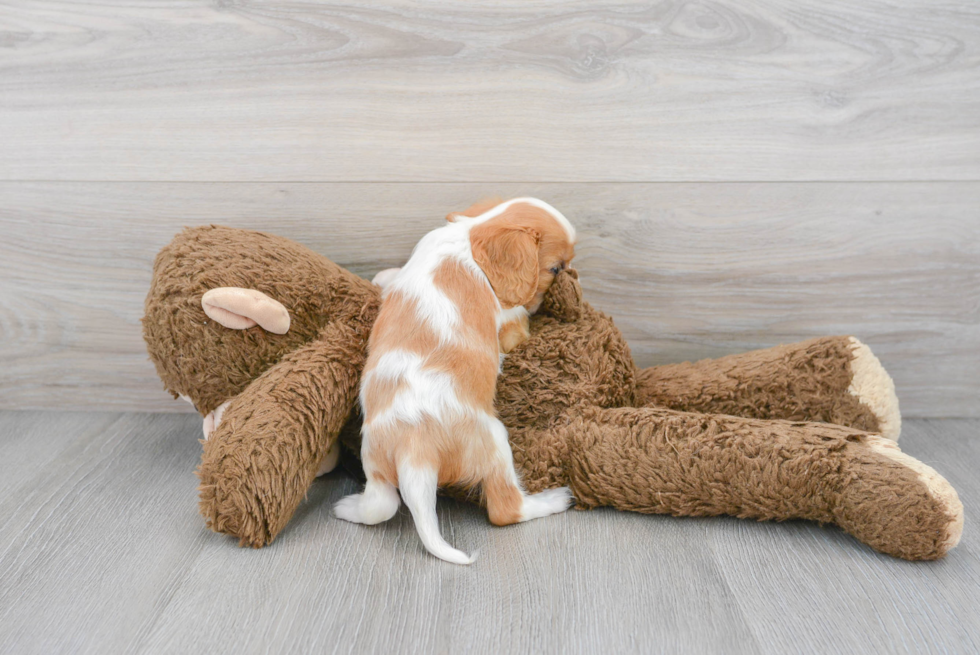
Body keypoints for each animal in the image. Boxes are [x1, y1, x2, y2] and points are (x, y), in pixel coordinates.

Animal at [336, 197, 580, 568]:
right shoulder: (509, 316)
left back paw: (347, 508)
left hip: (374, 461)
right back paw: (554, 499)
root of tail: (414, 452)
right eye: (555, 268)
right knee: (506, 509)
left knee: (381, 505)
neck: (469, 237)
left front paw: (382, 277)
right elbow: (517, 323)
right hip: (494, 440)